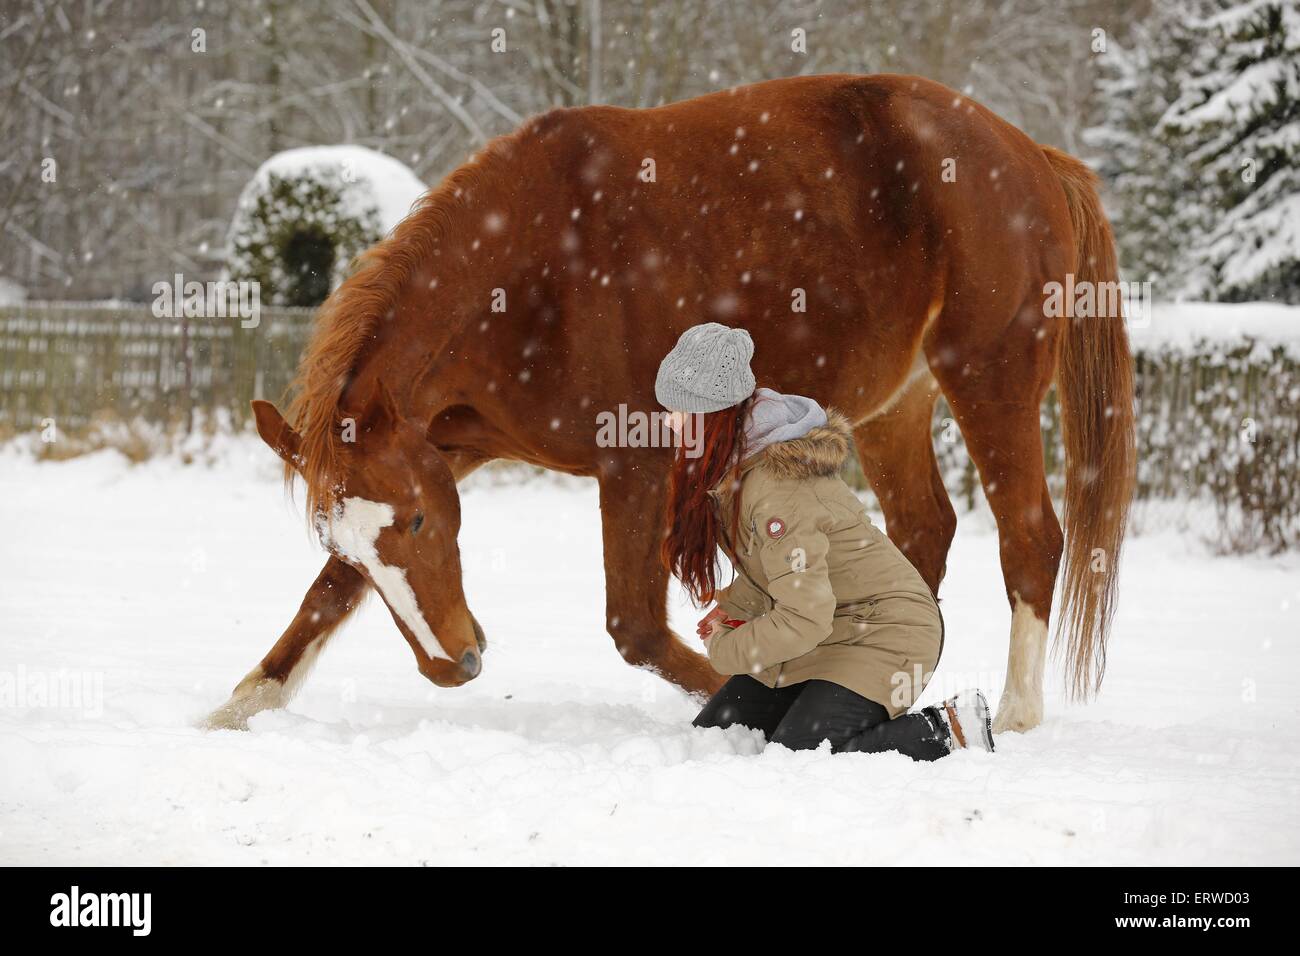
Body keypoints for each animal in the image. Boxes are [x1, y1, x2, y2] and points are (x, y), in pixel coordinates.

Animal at [202, 74, 1128, 738]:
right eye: (346, 539)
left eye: (422, 525)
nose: (452, 666)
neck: (538, 268)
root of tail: (1034, 154)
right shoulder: (447, 447)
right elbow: (325, 597)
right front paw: (239, 704)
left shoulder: (636, 461)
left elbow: (638, 630)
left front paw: (746, 693)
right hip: (894, 407)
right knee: (923, 531)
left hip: (989, 381)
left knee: (1030, 538)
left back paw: (1016, 713)